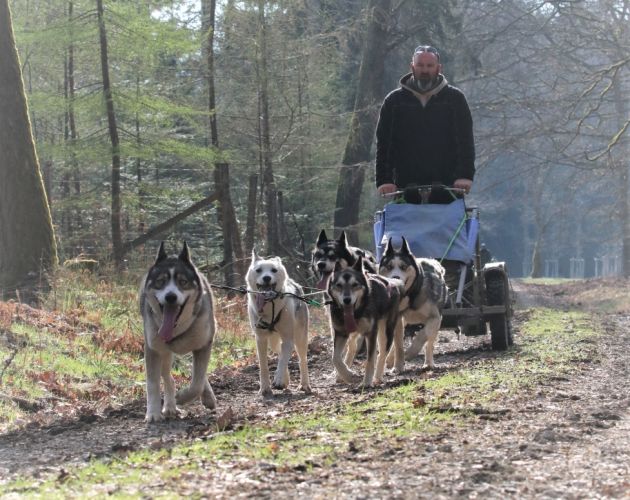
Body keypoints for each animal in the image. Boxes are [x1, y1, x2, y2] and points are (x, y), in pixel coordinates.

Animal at [139, 242, 218, 422]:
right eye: (160, 282)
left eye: (183, 282)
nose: (170, 297)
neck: (177, 329)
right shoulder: (153, 349)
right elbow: (152, 383)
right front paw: (153, 413)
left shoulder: (204, 344)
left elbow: (197, 382)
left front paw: (184, 397)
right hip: (165, 354)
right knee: (168, 377)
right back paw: (169, 406)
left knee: (198, 374)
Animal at [248, 252, 314, 396]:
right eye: (259, 270)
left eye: (274, 270)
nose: (267, 277)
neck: (270, 307)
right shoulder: (260, 339)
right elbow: (264, 365)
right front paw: (265, 388)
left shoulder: (288, 339)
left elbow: (283, 360)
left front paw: (278, 380)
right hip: (273, 341)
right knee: (279, 351)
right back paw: (285, 379)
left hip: (300, 338)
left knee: (302, 360)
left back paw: (304, 384)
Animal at [330, 258, 404, 386]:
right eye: (339, 285)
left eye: (355, 285)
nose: (347, 300)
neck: (357, 313)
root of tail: (392, 283)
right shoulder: (341, 333)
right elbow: (335, 357)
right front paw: (348, 375)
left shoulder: (370, 333)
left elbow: (370, 359)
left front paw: (366, 382)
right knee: (354, 348)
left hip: (386, 331)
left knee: (382, 353)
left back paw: (377, 376)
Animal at [380, 238, 450, 372]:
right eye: (389, 267)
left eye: (403, 266)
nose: (395, 277)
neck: (411, 295)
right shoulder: (398, 318)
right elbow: (398, 344)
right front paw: (397, 366)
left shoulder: (435, 318)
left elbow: (423, 334)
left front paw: (410, 353)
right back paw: (390, 359)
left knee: (430, 342)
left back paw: (428, 363)